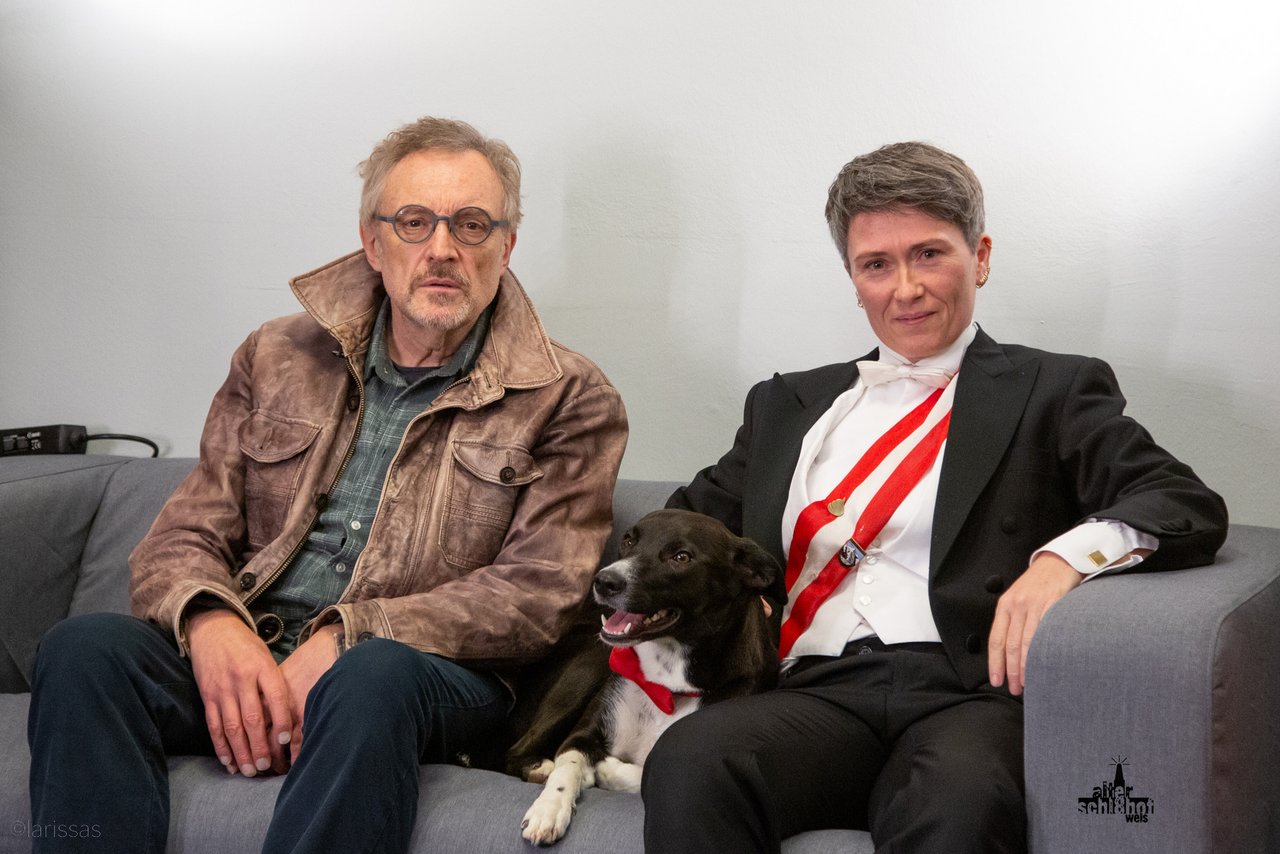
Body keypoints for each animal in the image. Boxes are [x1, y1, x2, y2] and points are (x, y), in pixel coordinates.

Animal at [511, 508, 780, 845]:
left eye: (681, 556)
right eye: (628, 540)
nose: (604, 581)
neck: (666, 681)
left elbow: (648, 770)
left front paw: (605, 771)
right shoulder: (581, 734)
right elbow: (567, 763)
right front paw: (549, 807)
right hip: (588, 669)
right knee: (515, 750)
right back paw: (540, 769)